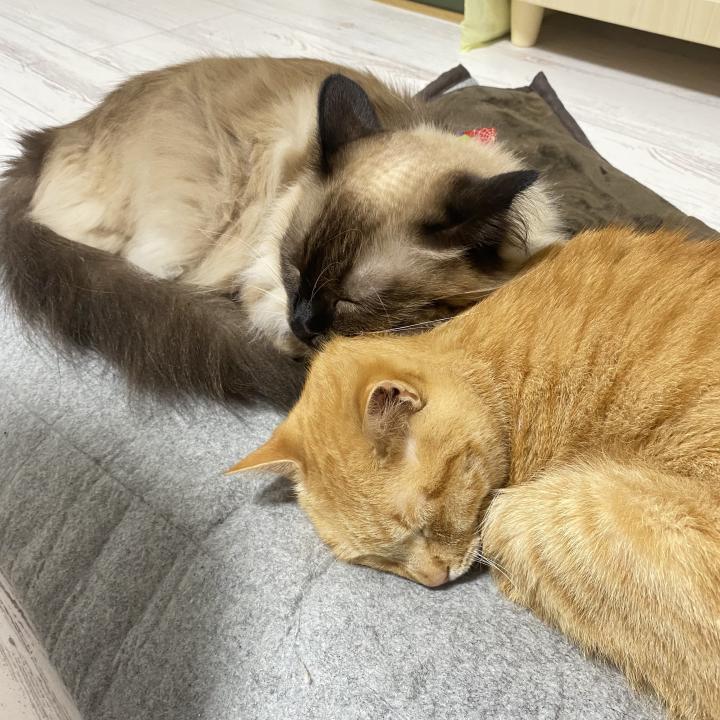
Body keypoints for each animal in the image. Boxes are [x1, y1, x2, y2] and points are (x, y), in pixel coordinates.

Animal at [0, 57, 561, 408]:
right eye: (293, 269)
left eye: (352, 302)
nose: (304, 321)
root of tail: (51, 137)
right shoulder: (267, 287)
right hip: (183, 235)